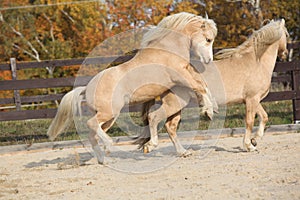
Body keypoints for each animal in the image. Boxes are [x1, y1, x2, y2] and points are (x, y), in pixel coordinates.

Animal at [46, 11, 218, 163]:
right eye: (208, 39)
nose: (208, 60)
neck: (169, 47)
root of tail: (86, 88)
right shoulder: (180, 75)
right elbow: (200, 87)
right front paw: (208, 110)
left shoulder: (186, 72)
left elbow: (203, 85)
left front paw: (212, 107)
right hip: (109, 112)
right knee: (92, 124)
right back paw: (111, 145)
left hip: (110, 117)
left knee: (92, 135)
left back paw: (104, 160)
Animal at [138, 19, 288, 155]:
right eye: (286, 34)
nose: (285, 53)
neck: (256, 62)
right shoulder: (252, 99)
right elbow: (250, 121)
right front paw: (249, 145)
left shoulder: (253, 100)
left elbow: (264, 116)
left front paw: (255, 140)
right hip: (174, 104)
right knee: (154, 117)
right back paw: (150, 146)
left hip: (177, 106)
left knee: (171, 127)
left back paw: (183, 152)